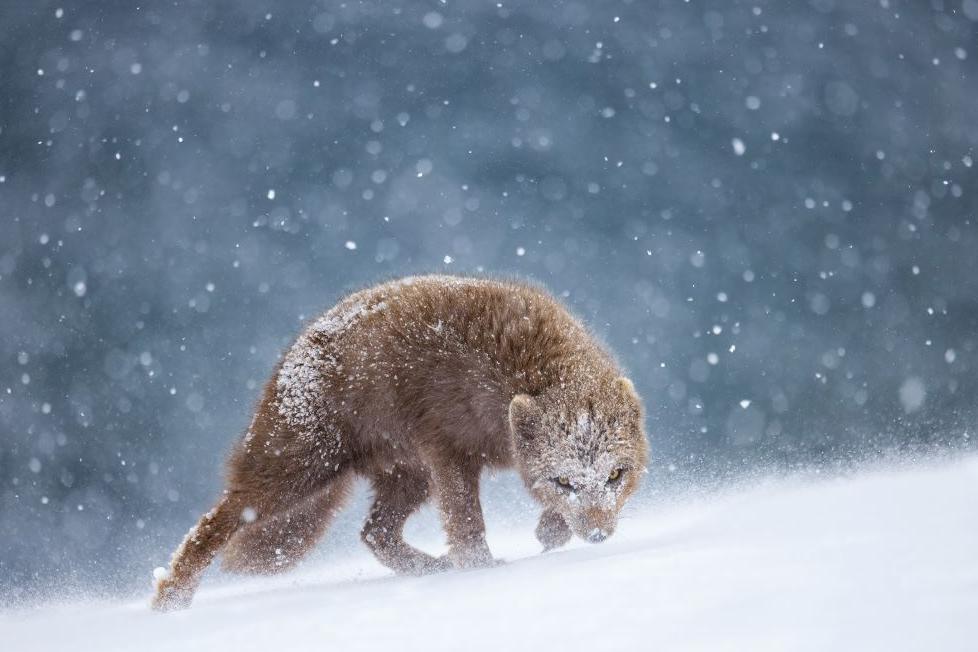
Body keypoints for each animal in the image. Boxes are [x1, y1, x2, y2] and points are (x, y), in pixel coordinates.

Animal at [152, 276, 648, 612]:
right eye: (565, 481)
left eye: (614, 475)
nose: (599, 535)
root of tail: (291, 354)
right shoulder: (448, 451)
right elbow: (468, 523)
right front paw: (482, 571)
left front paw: (550, 532)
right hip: (298, 473)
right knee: (214, 522)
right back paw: (170, 601)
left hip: (408, 478)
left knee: (374, 533)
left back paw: (432, 569)